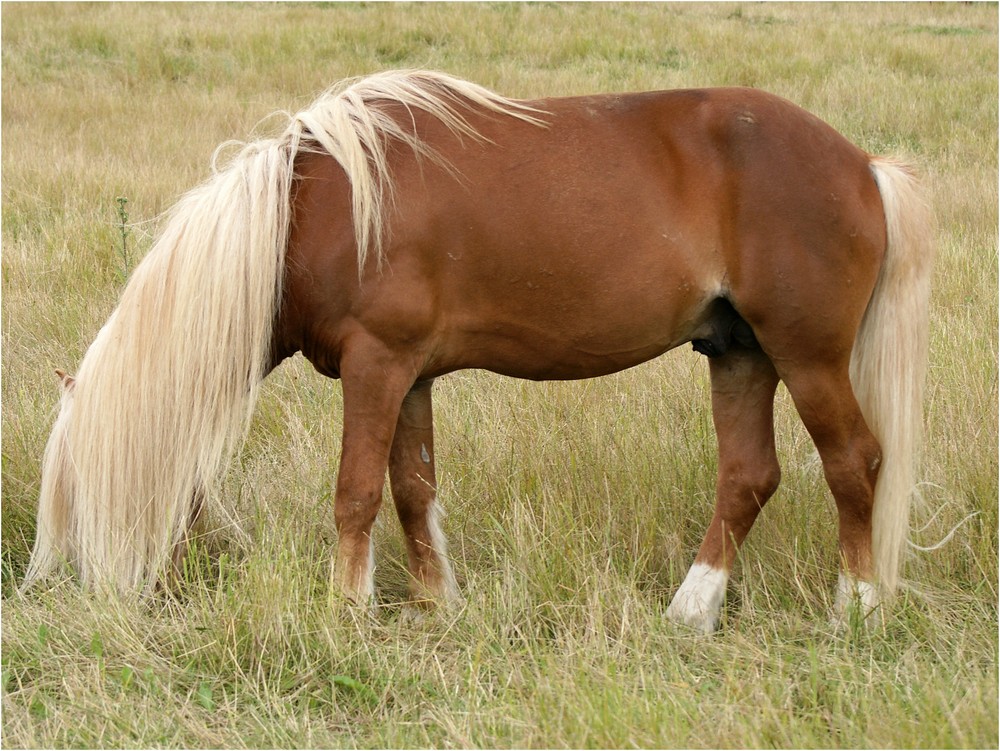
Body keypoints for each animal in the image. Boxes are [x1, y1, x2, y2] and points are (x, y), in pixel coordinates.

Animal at [21, 72, 928, 636]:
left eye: (74, 493)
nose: (47, 596)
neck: (317, 210)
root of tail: (861, 164)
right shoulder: (410, 374)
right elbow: (412, 491)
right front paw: (436, 604)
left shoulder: (376, 365)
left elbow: (355, 492)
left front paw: (344, 611)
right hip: (738, 352)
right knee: (748, 477)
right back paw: (689, 611)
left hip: (806, 356)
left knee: (854, 462)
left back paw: (856, 609)